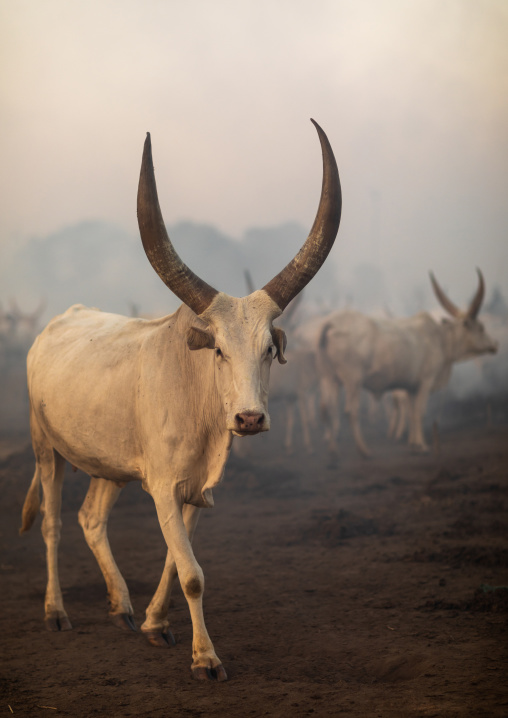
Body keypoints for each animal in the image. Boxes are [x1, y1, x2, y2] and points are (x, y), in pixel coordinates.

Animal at [19, 120, 341, 681]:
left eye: (268, 349)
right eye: (218, 349)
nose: (250, 418)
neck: (198, 406)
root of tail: (58, 323)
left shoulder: (192, 492)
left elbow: (177, 560)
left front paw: (155, 624)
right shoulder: (166, 488)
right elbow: (192, 573)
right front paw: (206, 658)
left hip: (110, 466)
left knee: (91, 519)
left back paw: (121, 607)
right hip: (46, 449)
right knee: (54, 524)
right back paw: (56, 612)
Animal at [317, 270, 498, 456]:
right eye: (481, 327)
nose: (495, 344)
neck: (440, 338)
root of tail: (331, 323)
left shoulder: (411, 387)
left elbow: (411, 412)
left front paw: (414, 443)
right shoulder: (425, 382)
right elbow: (419, 412)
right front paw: (422, 446)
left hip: (328, 378)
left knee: (327, 409)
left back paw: (333, 452)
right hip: (353, 380)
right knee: (350, 411)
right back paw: (363, 450)